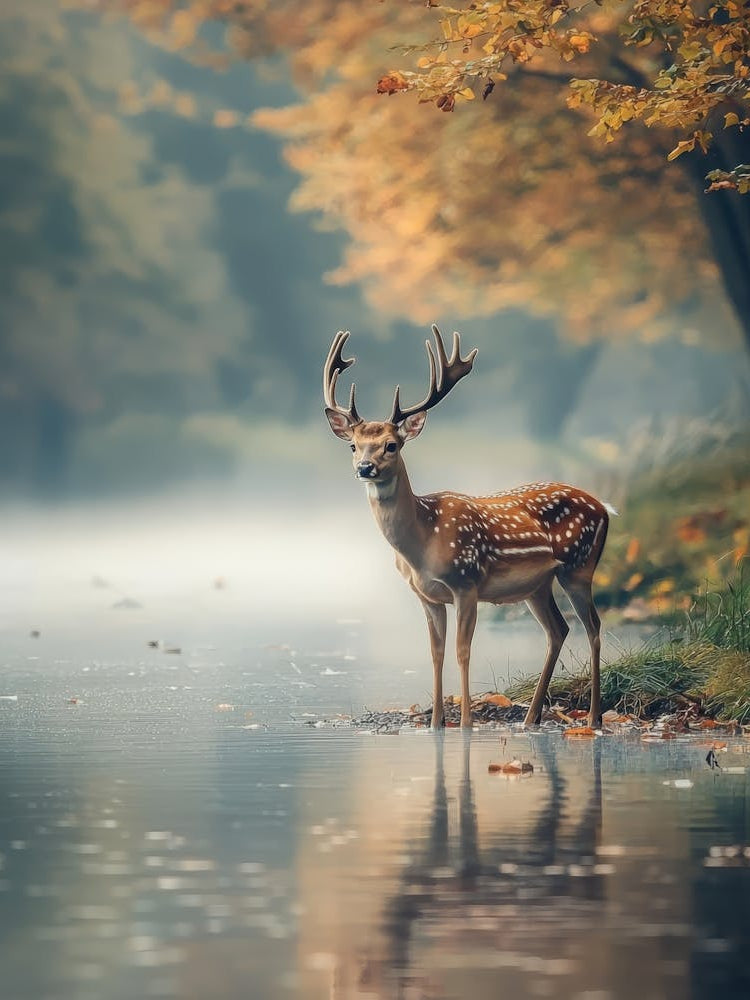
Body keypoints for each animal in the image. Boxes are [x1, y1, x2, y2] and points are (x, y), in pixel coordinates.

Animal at [324, 325, 615, 730]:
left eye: (392, 445)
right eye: (353, 445)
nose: (365, 468)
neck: (422, 542)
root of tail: (605, 508)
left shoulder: (467, 582)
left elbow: (463, 651)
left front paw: (464, 724)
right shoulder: (427, 596)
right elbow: (436, 652)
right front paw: (435, 725)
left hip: (579, 566)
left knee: (593, 627)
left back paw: (593, 718)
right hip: (537, 585)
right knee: (559, 630)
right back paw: (531, 718)